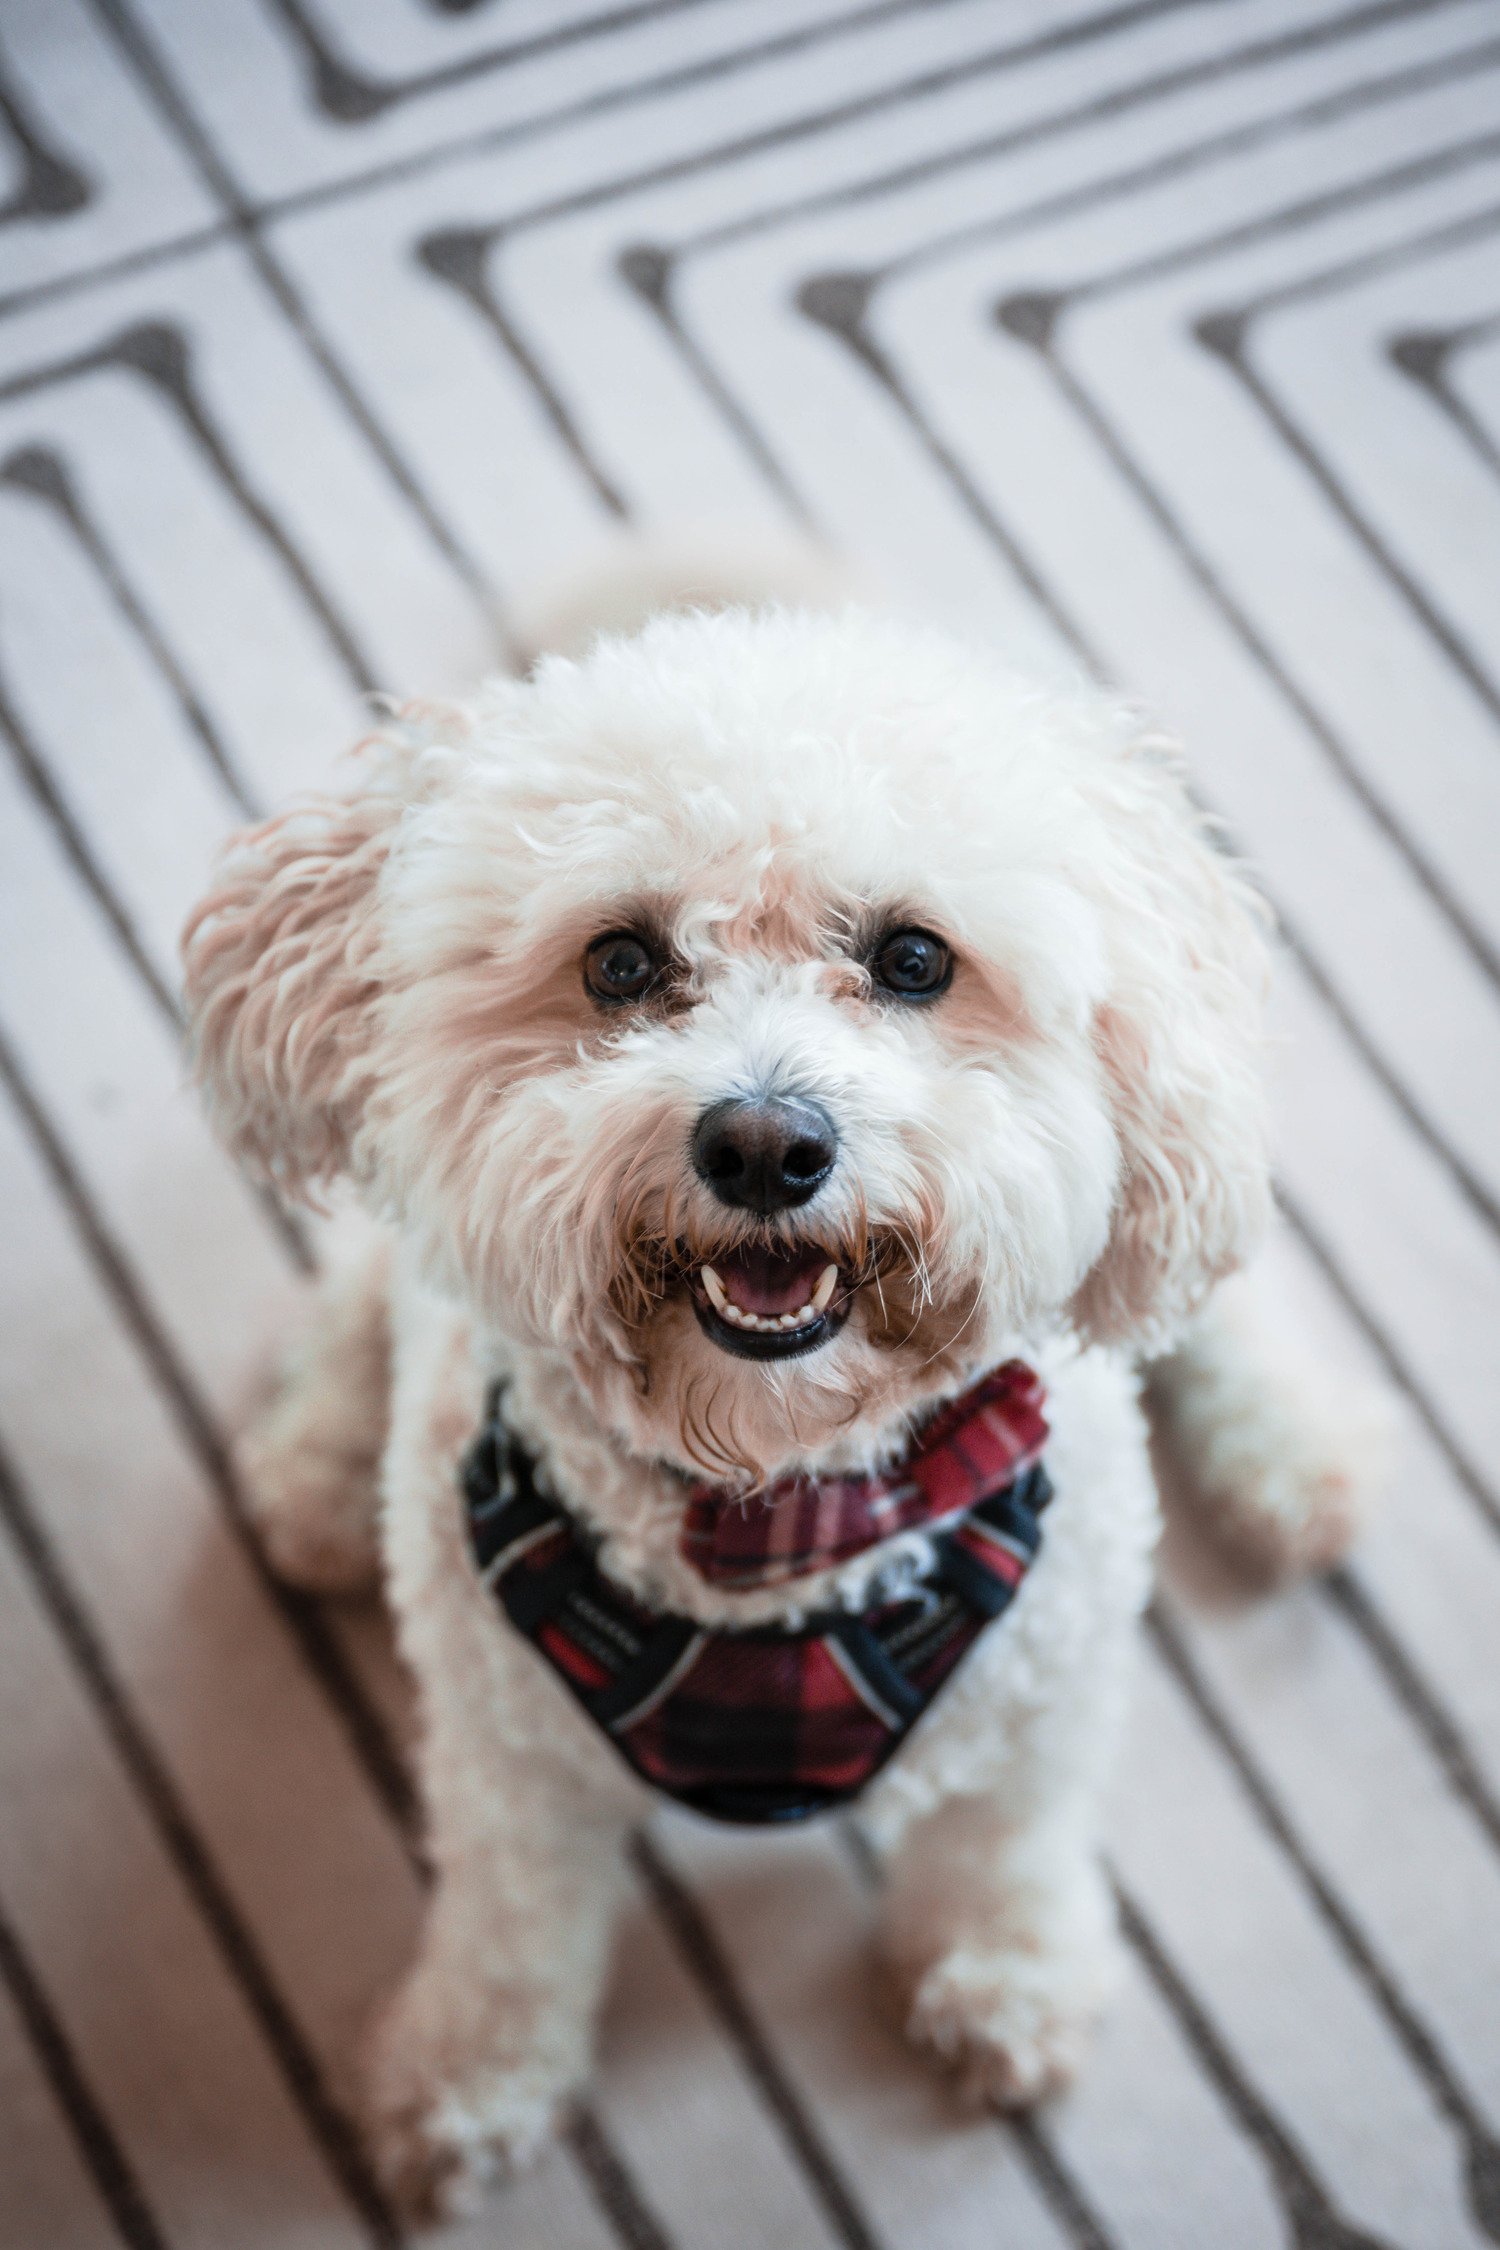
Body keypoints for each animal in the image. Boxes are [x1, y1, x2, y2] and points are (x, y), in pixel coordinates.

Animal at [178, 549, 1376, 2214]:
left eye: (914, 958)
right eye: (621, 960)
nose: (764, 1144)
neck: (770, 1512)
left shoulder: (1048, 1678)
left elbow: (1003, 1843)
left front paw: (1004, 1977)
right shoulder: (506, 1758)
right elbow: (507, 1931)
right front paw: (465, 2078)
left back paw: (1294, 1454)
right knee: (374, 1279)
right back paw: (313, 1466)